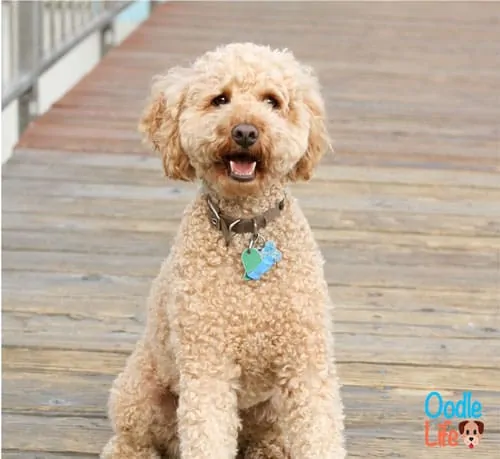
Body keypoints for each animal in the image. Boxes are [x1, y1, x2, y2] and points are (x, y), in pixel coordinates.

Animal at [99, 41, 346, 458]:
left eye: (272, 101)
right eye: (220, 99)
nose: (245, 130)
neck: (246, 227)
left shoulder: (306, 361)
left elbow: (319, 432)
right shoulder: (206, 363)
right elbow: (207, 433)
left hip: (271, 404)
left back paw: (267, 449)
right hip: (138, 391)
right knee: (135, 436)